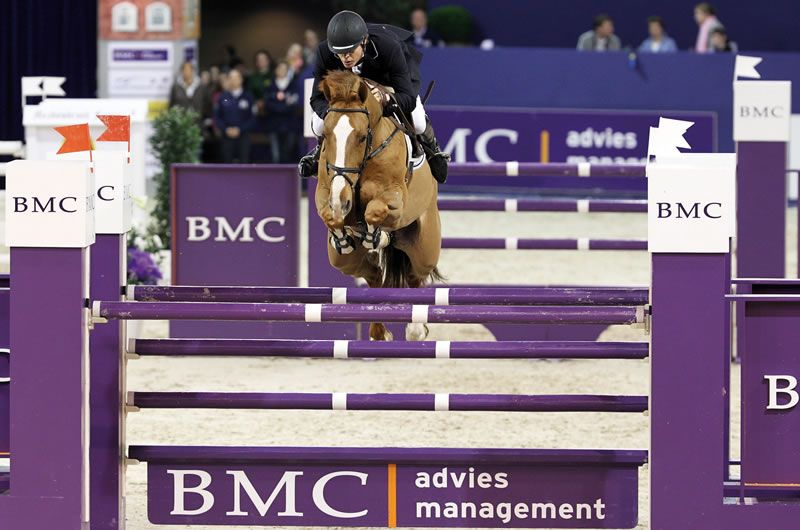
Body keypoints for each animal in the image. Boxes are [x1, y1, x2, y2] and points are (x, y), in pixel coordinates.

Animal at [313, 70, 442, 341]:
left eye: (362, 137)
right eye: (327, 136)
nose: (341, 200)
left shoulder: (396, 200)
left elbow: (375, 211)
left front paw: (376, 237)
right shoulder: (326, 192)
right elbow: (330, 215)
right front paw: (343, 236)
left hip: (425, 248)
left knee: (415, 275)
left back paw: (415, 329)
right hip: (343, 262)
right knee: (373, 275)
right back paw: (379, 332)